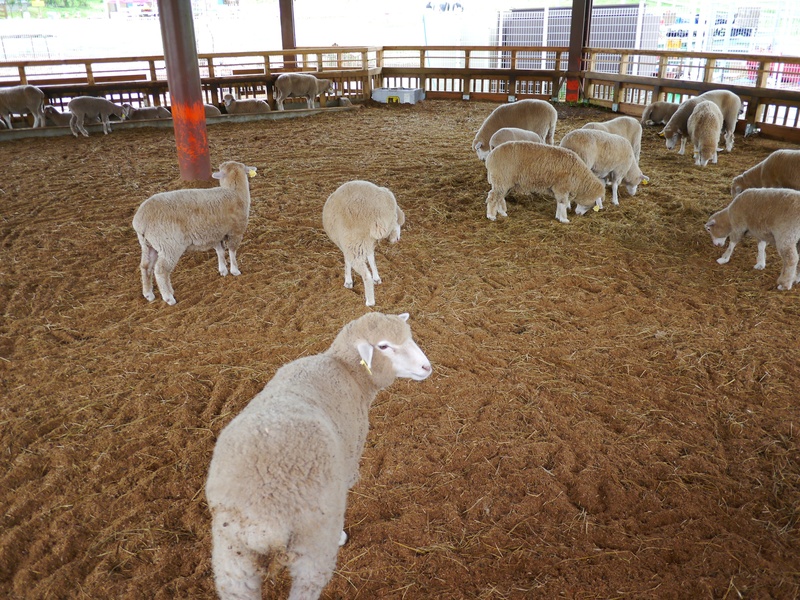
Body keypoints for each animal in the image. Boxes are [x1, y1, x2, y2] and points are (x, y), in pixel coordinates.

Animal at [132, 161, 257, 305]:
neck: (234, 192)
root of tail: (140, 220)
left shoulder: (215, 234)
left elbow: (220, 251)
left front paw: (223, 270)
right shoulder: (235, 232)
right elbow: (232, 251)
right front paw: (235, 270)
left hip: (148, 244)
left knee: (146, 266)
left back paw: (148, 294)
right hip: (169, 245)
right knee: (161, 270)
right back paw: (169, 297)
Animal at [205, 311, 432, 600]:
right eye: (383, 346)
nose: (427, 367)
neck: (345, 370)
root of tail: (264, 524)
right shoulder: (348, 462)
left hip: (232, 560)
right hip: (313, 548)